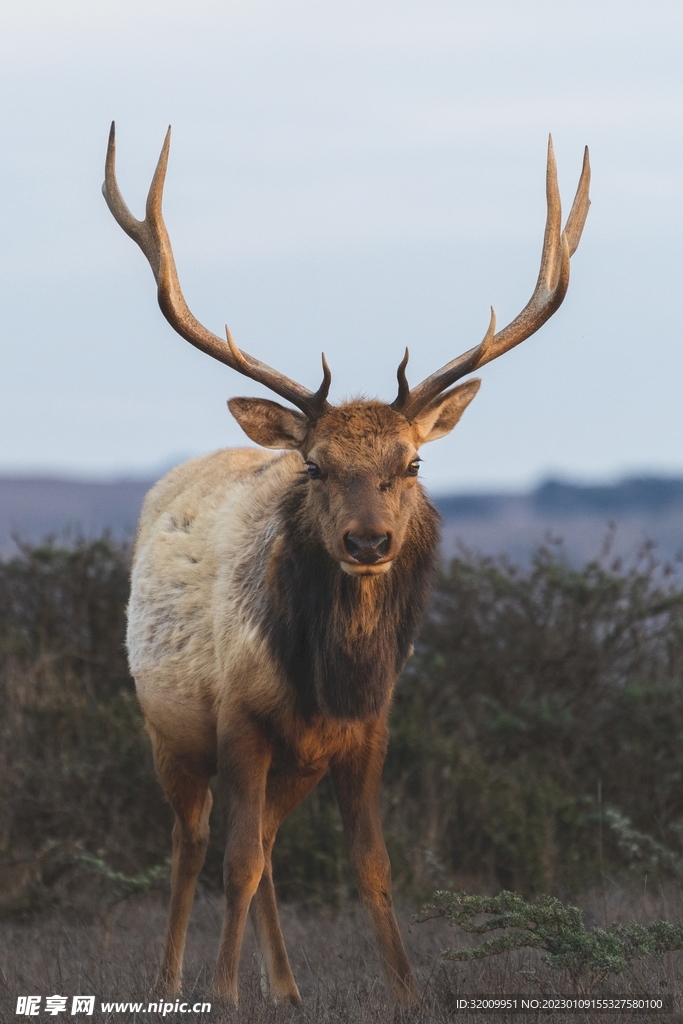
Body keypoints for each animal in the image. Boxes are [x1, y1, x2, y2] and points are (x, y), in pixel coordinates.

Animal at [102, 123, 590, 1006]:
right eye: (316, 465)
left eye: (412, 463)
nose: (368, 543)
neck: (330, 680)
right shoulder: (239, 719)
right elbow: (234, 861)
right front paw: (221, 994)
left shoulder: (366, 733)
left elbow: (370, 864)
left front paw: (406, 992)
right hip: (169, 730)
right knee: (195, 842)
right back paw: (169, 980)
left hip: (293, 764)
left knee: (264, 847)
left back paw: (288, 989)